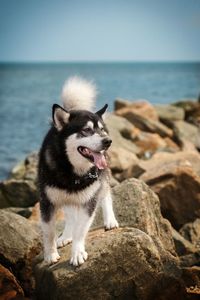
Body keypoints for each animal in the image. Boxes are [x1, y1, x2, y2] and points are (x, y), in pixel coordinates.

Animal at [38, 76, 118, 266]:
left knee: (105, 195)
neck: (72, 170)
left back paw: (110, 220)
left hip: (100, 181)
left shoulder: (88, 201)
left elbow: (80, 230)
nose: (108, 141)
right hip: (66, 196)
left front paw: (77, 253)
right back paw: (65, 236)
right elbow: (49, 232)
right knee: (70, 216)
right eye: (86, 130)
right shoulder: (47, 201)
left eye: (101, 129)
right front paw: (50, 254)